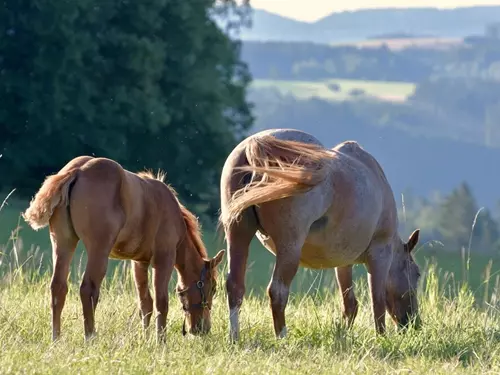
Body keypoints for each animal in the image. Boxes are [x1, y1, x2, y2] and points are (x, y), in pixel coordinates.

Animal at [22, 156, 225, 344]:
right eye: (213, 288)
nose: (203, 329)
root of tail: (77, 170)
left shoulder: (140, 262)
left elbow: (145, 303)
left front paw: (145, 339)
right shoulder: (163, 259)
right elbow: (161, 303)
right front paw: (161, 343)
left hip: (63, 242)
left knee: (58, 286)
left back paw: (56, 339)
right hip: (99, 250)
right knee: (88, 289)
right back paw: (90, 338)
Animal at [220, 129, 422, 340]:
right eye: (416, 274)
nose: (415, 324)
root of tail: (257, 144)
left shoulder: (343, 262)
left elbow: (350, 304)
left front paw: (344, 335)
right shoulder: (379, 254)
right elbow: (378, 302)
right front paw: (381, 338)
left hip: (238, 235)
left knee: (235, 286)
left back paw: (234, 337)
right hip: (289, 247)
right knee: (277, 292)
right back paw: (282, 337)